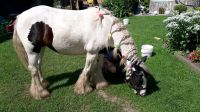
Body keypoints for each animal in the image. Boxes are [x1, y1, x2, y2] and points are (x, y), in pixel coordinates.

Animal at [12, 5, 149, 99]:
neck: (105, 27)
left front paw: (100, 84)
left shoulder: (100, 52)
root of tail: (20, 16)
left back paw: (43, 84)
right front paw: (83, 89)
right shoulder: (92, 53)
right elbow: (87, 70)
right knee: (33, 69)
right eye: (138, 78)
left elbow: (97, 67)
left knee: (38, 65)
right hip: (32, 51)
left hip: (41, 48)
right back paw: (41, 93)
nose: (143, 93)